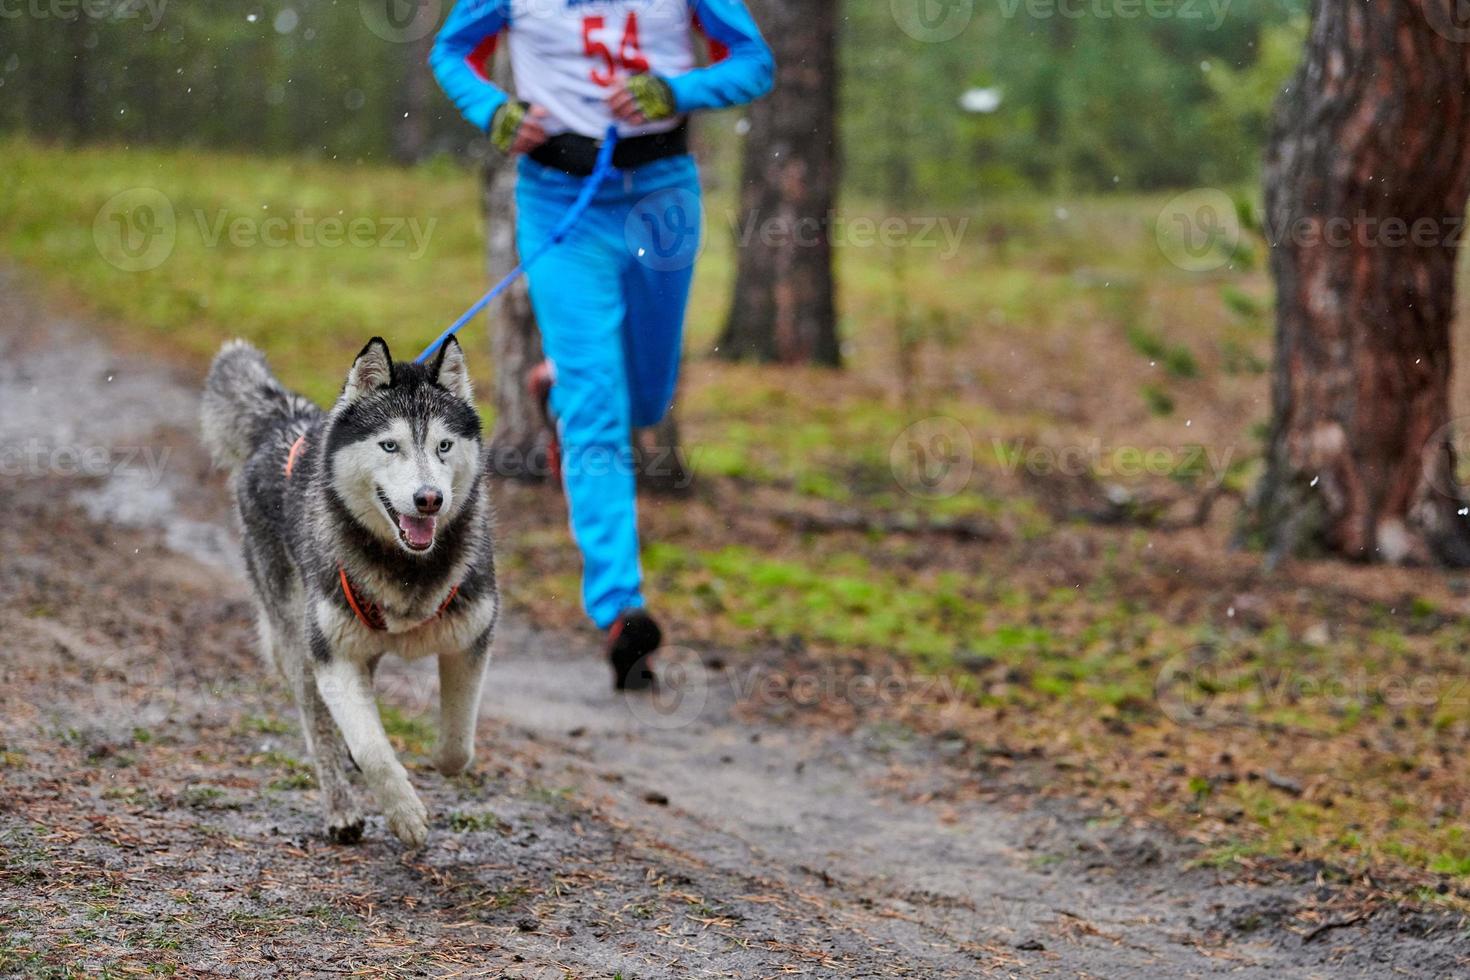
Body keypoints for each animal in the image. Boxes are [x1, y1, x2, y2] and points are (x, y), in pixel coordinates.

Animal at [201, 334, 499, 846]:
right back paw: (341, 809)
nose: (429, 499)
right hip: (299, 641)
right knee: (318, 725)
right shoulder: (333, 657)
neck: (406, 570)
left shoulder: (469, 642)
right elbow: (372, 750)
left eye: (443, 445)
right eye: (389, 445)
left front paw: (437, 763)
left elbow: (458, 748)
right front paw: (404, 813)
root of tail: (285, 418)